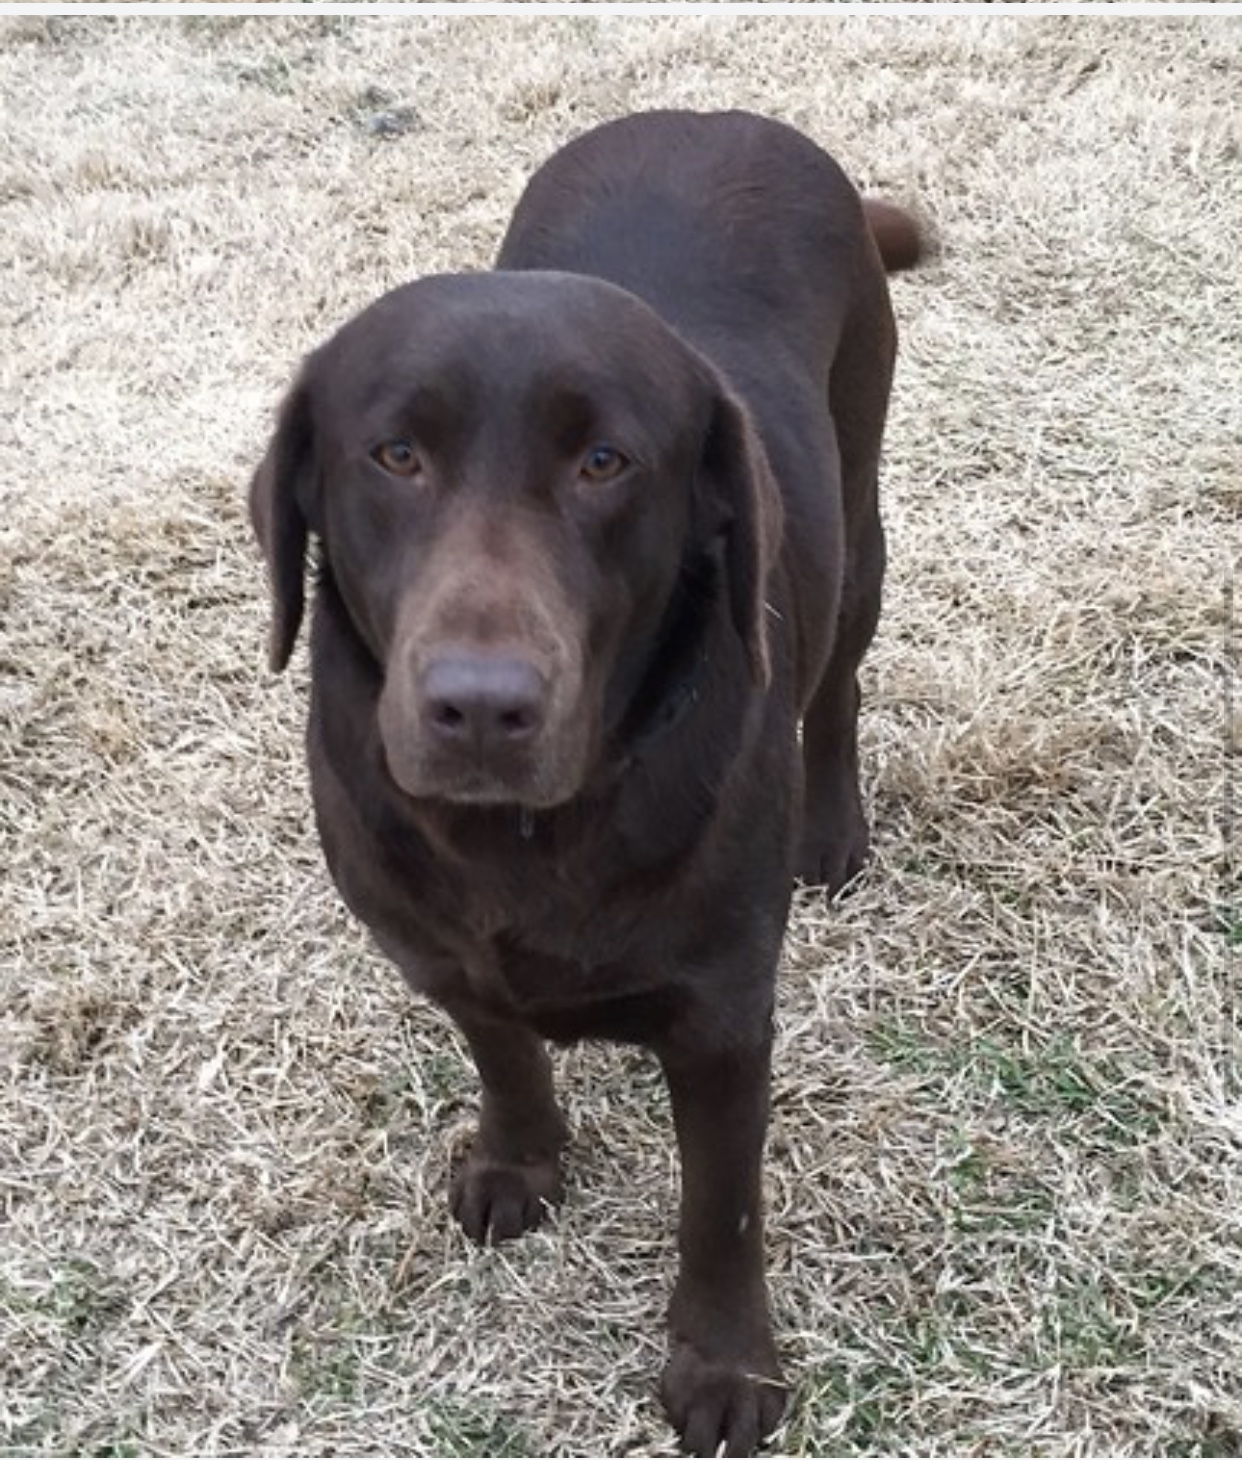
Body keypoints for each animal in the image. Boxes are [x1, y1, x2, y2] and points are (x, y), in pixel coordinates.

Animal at [248, 110, 916, 1448]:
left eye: (606, 461)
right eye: (394, 453)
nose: (480, 707)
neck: (525, 835)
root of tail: (720, 113)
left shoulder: (723, 1017)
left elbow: (723, 1204)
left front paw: (724, 1363)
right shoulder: (437, 949)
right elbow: (504, 1050)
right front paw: (520, 1159)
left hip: (860, 511)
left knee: (839, 679)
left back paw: (831, 825)